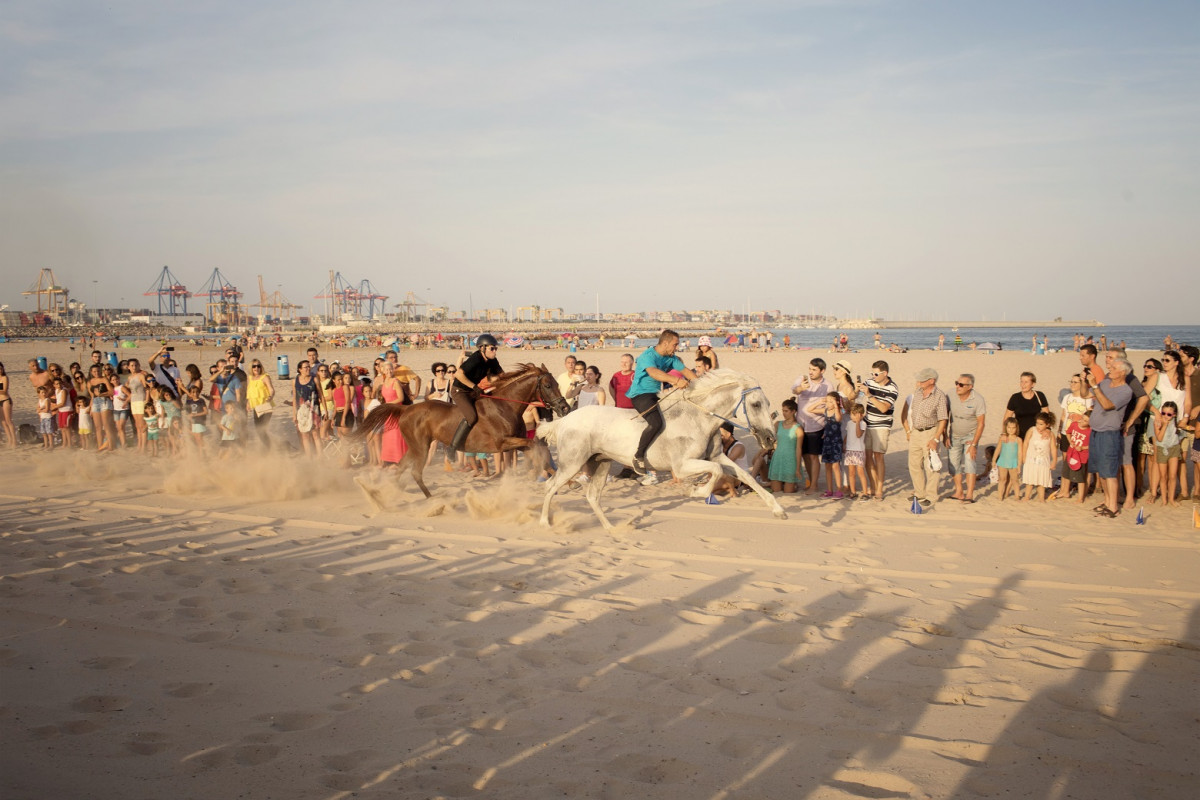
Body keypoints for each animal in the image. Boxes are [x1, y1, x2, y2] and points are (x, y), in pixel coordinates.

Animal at [355, 364, 566, 501]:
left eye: (557, 383)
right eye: (548, 385)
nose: (564, 408)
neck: (505, 406)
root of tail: (406, 409)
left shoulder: (518, 441)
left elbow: (540, 451)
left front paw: (562, 480)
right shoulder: (503, 443)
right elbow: (535, 447)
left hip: (415, 447)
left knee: (400, 466)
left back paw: (389, 494)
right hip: (421, 447)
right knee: (414, 471)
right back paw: (431, 499)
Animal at [537, 369, 787, 532]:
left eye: (766, 404)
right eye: (756, 404)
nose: (770, 439)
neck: (698, 417)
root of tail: (564, 420)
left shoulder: (717, 455)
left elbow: (745, 475)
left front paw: (778, 510)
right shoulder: (683, 465)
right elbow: (715, 471)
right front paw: (695, 491)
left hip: (601, 463)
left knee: (592, 496)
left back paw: (612, 528)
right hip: (572, 463)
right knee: (550, 486)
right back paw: (545, 523)